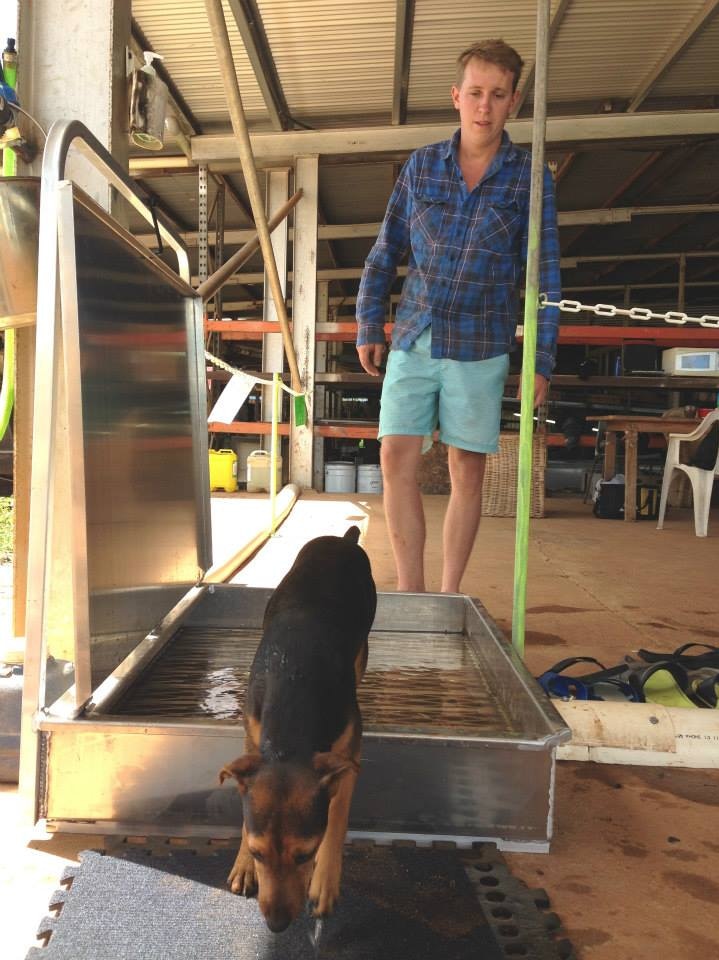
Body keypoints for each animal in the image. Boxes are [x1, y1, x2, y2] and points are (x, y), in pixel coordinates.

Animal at [219, 524, 376, 928]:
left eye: (305, 855)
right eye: (259, 853)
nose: (276, 924)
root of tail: (342, 540)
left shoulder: (347, 758)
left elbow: (336, 820)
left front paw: (324, 884)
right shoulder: (253, 739)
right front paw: (242, 865)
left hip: (364, 640)